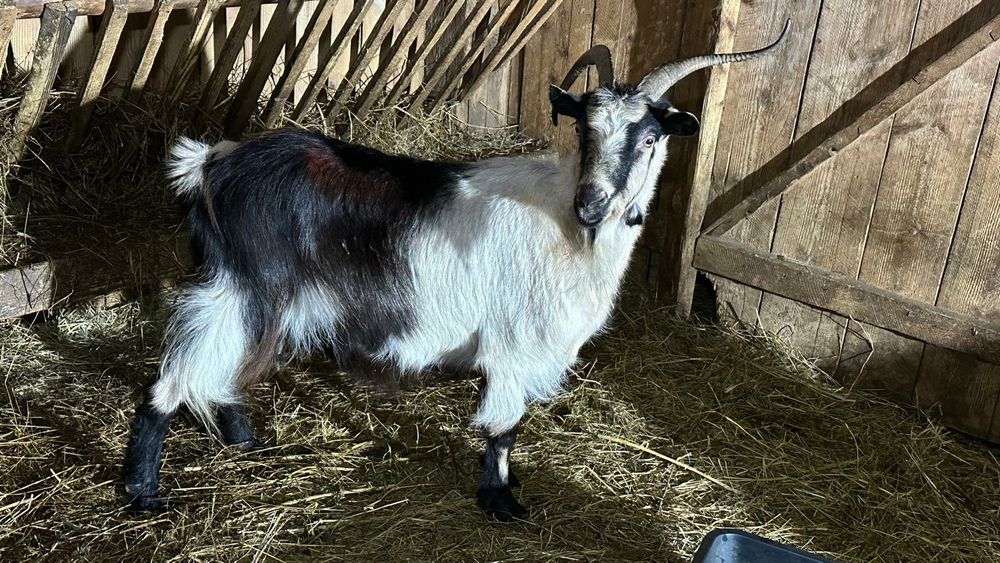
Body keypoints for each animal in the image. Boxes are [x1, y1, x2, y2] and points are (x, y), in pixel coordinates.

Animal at [124, 22, 789, 520]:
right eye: (583, 127)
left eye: (649, 136)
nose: (593, 203)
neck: (568, 230)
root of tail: (213, 164)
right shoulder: (516, 344)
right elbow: (504, 425)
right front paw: (500, 501)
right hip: (236, 289)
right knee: (171, 381)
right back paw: (144, 495)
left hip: (261, 299)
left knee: (225, 370)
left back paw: (245, 441)